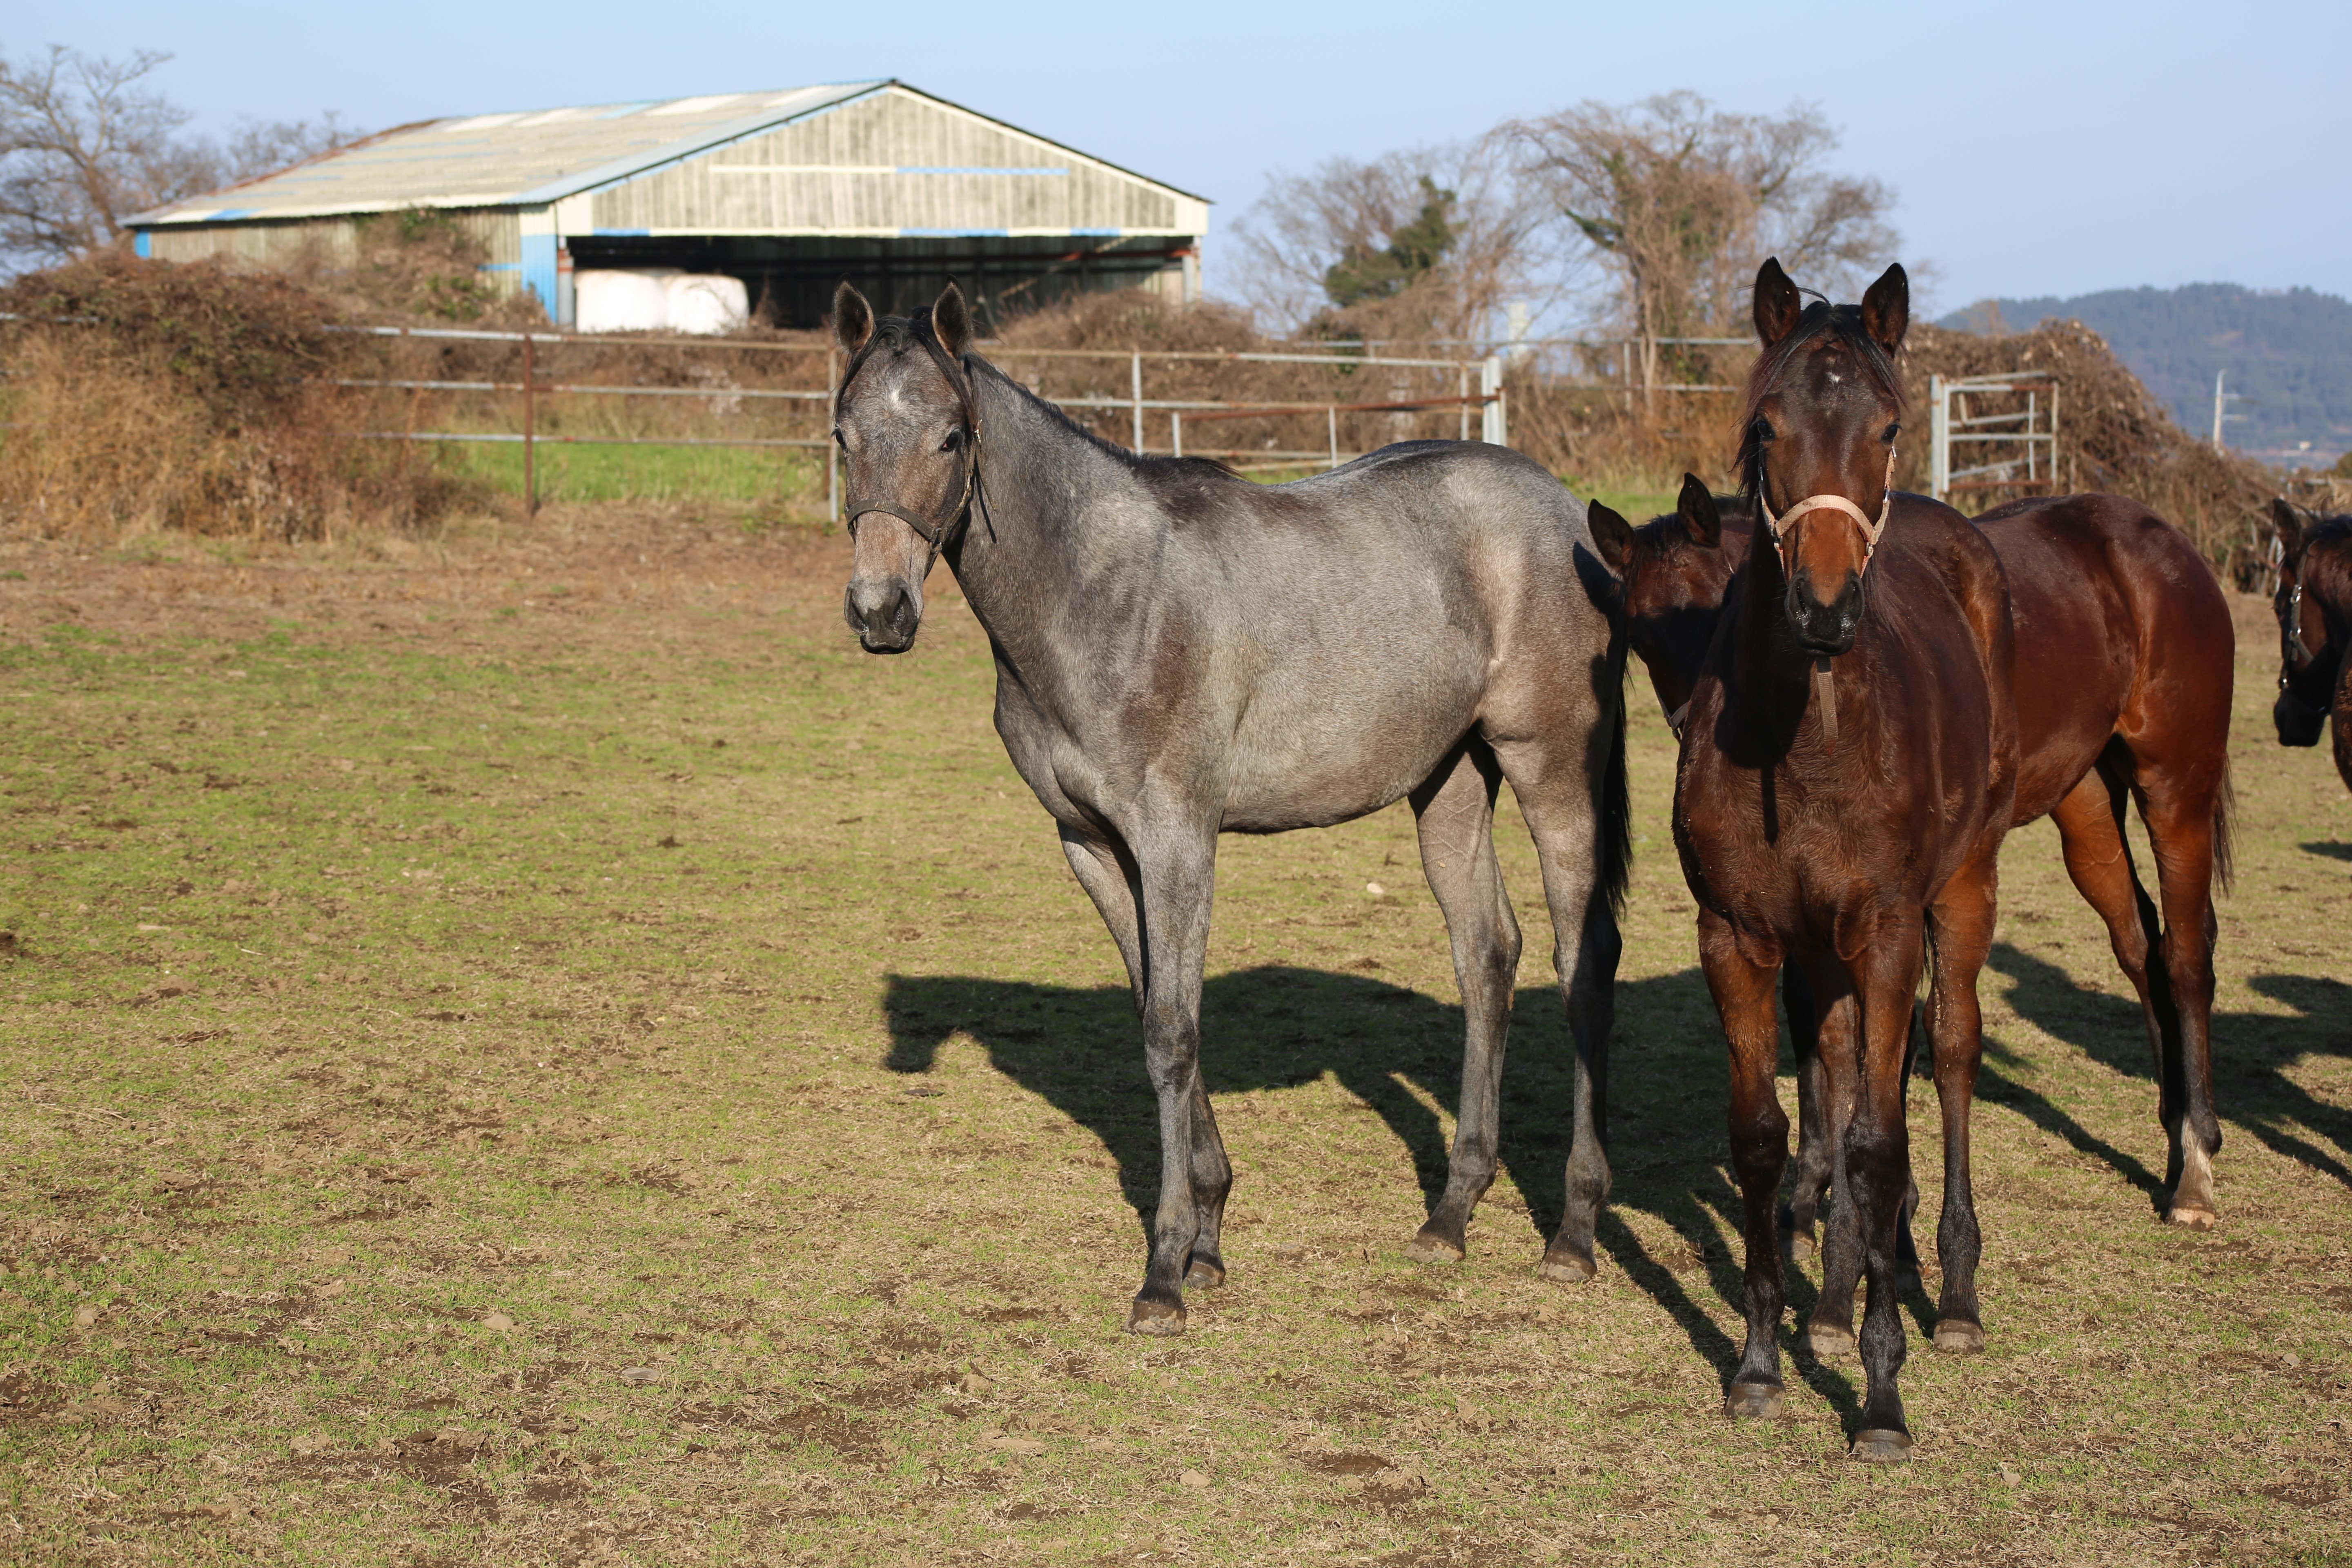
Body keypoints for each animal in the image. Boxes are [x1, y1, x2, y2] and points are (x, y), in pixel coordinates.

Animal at [837, 282, 1627, 1335]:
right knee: (1486, 955)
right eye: (843, 434)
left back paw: (1573, 1233)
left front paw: (1165, 1273)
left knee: (1582, 965)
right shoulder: (1092, 846)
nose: (880, 611)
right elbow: (1155, 1013)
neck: (1099, 593)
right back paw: (1450, 1214)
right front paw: (1208, 1239)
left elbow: (1172, 1029)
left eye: (952, 437)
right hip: (1449, 781)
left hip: (1552, 771)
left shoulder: (1178, 838)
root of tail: (1565, 508)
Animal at [1590, 479, 2230, 1250]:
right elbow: (1821, 1023)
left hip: (2175, 790)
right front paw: (1813, 1192)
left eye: (1723, 603)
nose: (1704, 748)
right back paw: (2171, 1134)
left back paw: (2196, 1166)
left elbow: (1889, 1035)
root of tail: (2163, 539)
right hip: (2085, 806)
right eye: (1642, 640)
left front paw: (1882, 1202)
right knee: (2140, 945)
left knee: (2187, 957)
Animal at [1675, 263, 2022, 1467]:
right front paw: (1760, 1361)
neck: (1811, 739)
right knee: (1835, 1061)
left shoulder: (1884, 930)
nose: (1823, 610)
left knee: (1948, 1060)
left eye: (1887, 427)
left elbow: (1876, 1142)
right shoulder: (1738, 937)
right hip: (1821, 954)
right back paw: (1833, 1296)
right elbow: (1765, 1136)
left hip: (1957, 897)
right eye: (1764, 427)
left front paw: (1879, 1394)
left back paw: (1950, 1293)